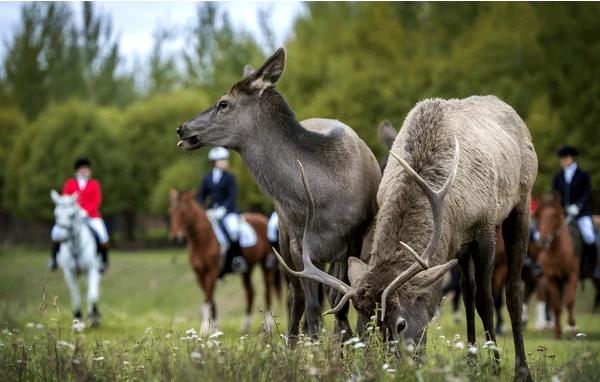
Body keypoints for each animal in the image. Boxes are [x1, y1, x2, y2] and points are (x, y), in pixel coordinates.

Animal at [50, 190, 102, 330]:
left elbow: (92, 295)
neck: (75, 247)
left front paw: (93, 318)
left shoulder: (92, 270)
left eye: (72, 215)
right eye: (56, 214)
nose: (59, 236)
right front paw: (77, 323)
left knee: (92, 292)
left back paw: (95, 317)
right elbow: (76, 297)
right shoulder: (69, 273)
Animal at [169, 190, 282, 334]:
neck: (202, 239)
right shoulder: (200, 274)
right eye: (171, 211)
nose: (174, 237)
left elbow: (207, 299)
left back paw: (267, 326)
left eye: (183, 212)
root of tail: (263, 219)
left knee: (267, 292)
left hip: (266, 265)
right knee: (250, 293)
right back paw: (245, 327)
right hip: (247, 268)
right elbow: (211, 300)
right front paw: (215, 329)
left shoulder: (211, 272)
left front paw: (204, 329)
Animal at [274, 97, 536, 380]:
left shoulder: (484, 227)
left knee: (512, 289)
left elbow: (486, 301)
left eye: (401, 324)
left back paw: (521, 369)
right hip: (463, 247)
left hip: (521, 204)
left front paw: (496, 368)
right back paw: (471, 361)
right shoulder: (456, 240)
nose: (380, 369)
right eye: (364, 325)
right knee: (467, 291)